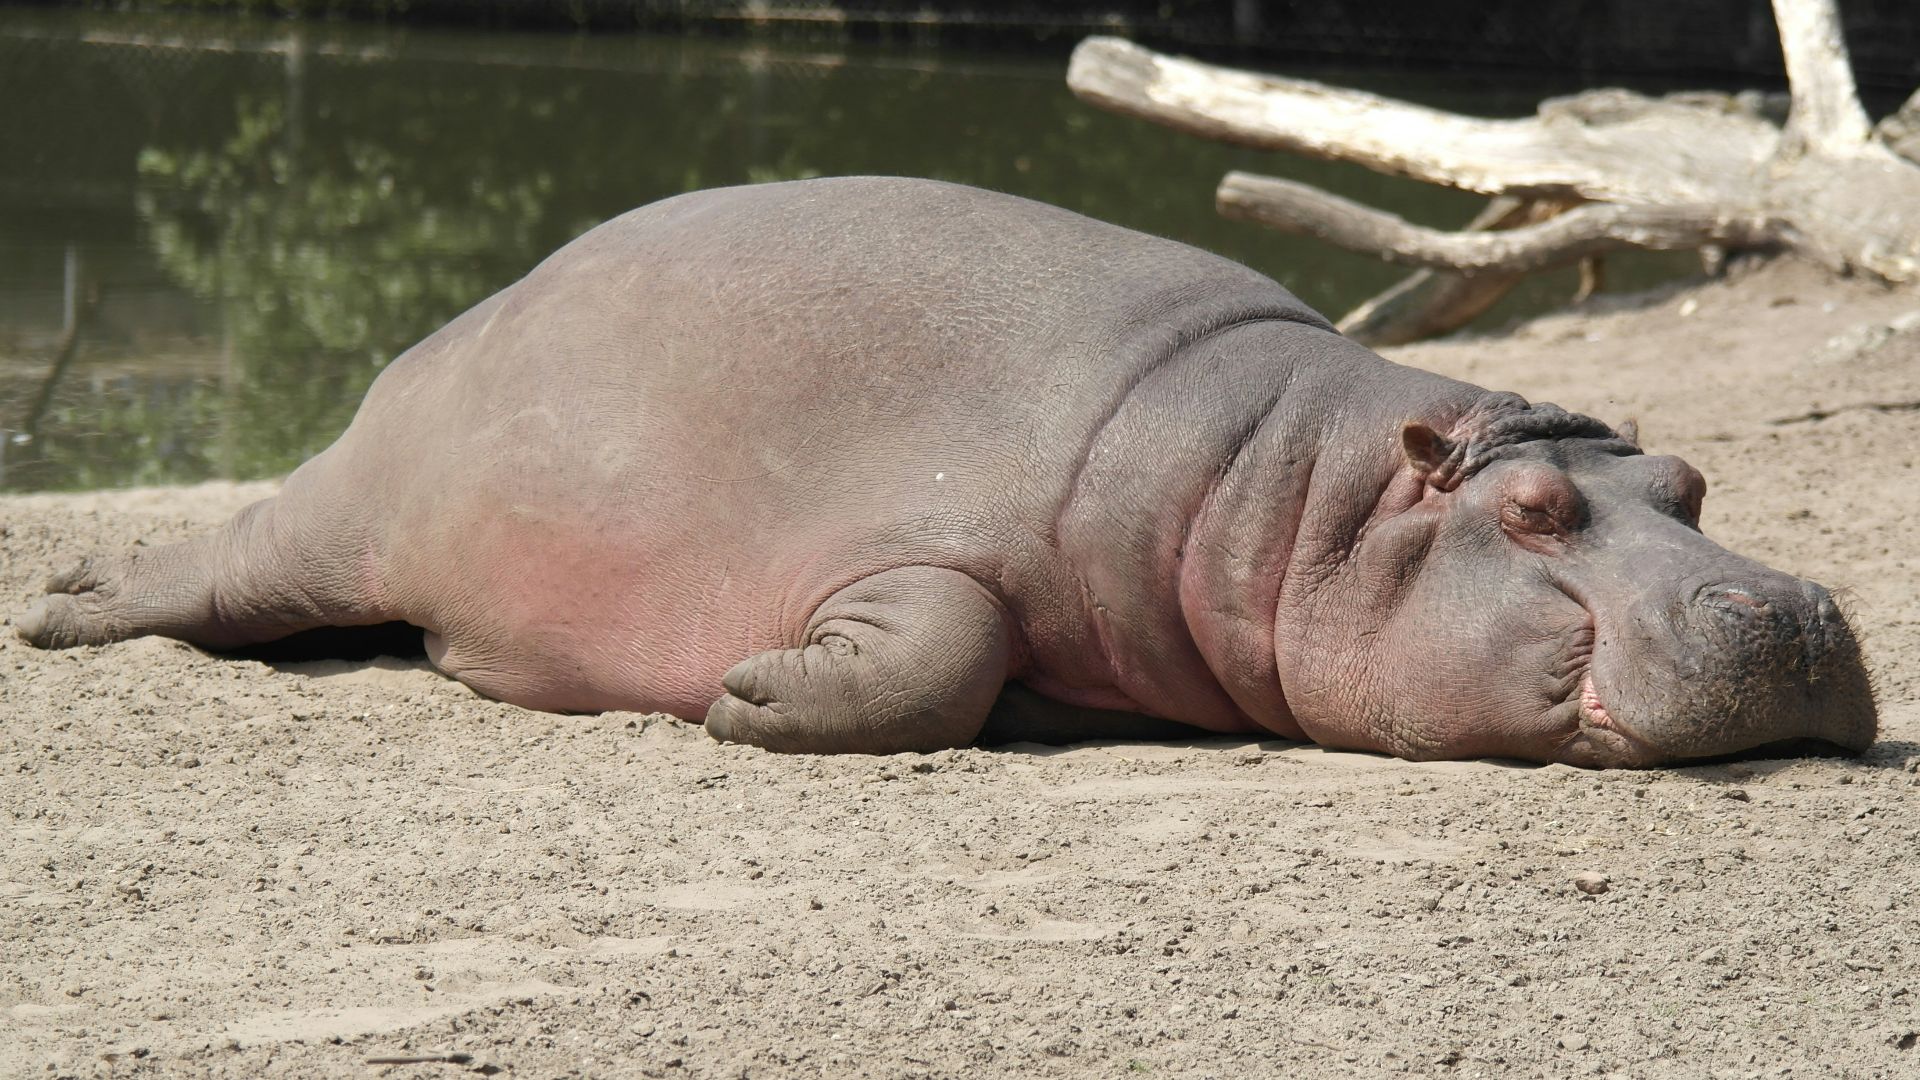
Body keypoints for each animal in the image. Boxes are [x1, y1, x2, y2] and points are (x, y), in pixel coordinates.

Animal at [14, 177, 1876, 766]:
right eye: (1535, 512)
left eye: (1694, 482)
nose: (1787, 611)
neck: (1291, 490)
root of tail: (443, 333)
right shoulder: (916, 544)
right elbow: (942, 644)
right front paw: (752, 694)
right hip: (343, 522)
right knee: (222, 569)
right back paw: (65, 603)